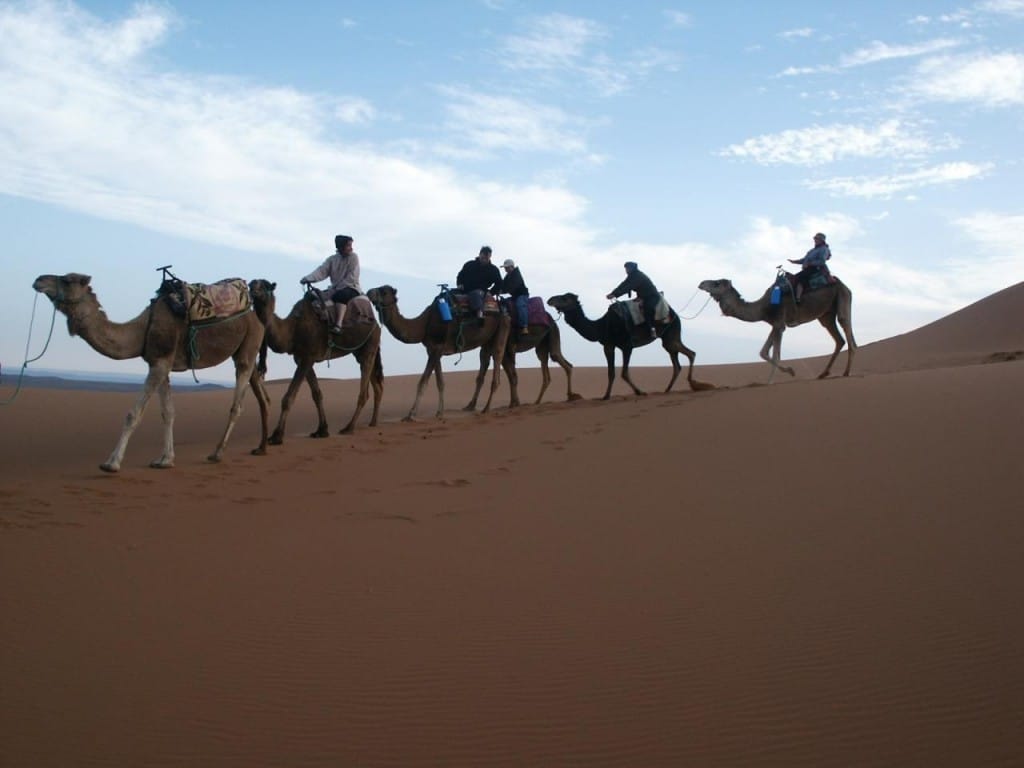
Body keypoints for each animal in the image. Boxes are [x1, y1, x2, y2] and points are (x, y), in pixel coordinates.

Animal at [33, 274, 268, 473]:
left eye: (67, 280)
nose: (39, 280)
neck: (142, 330)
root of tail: (257, 318)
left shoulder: (160, 363)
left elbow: (133, 414)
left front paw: (111, 463)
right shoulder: (159, 363)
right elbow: (168, 412)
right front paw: (165, 460)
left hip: (247, 349)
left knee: (237, 405)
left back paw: (217, 453)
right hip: (246, 352)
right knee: (261, 396)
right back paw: (262, 446)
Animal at [248, 280, 385, 442]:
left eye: (265, 285)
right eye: (251, 284)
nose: (252, 291)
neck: (293, 329)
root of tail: (376, 324)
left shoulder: (307, 357)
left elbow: (288, 398)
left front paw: (277, 436)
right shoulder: (302, 359)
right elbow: (317, 394)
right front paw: (322, 430)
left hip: (370, 345)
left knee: (364, 392)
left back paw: (349, 427)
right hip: (361, 350)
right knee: (377, 385)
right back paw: (373, 422)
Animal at [366, 286, 512, 421]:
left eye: (384, 291)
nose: (369, 292)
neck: (424, 324)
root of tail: (501, 307)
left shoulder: (436, 349)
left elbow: (423, 382)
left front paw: (411, 415)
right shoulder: (434, 350)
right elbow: (440, 382)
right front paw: (439, 412)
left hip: (502, 326)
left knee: (498, 356)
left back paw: (486, 408)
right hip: (487, 340)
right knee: (484, 360)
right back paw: (470, 406)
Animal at [544, 292, 712, 399]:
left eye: (564, 298)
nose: (550, 299)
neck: (602, 325)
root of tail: (676, 314)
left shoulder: (626, 345)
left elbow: (624, 372)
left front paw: (640, 392)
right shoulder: (608, 345)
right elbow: (611, 372)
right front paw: (606, 396)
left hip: (671, 334)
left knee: (690, 353)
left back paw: (694, 384)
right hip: (668, 339)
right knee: (678, 362)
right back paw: (668, 389)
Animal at [696, 276, 856, 385]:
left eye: (716, 283)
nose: (701, 283)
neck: (763, 308)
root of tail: (845, 285)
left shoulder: (779, 324)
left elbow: (774, 356)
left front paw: (771, 381)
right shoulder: (775, 325)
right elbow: (764, 352)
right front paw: (789, 371)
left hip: (842, 298)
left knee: (848, 332)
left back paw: (846, 372)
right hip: (826, 315)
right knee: (839, 339)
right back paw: (824, 373)